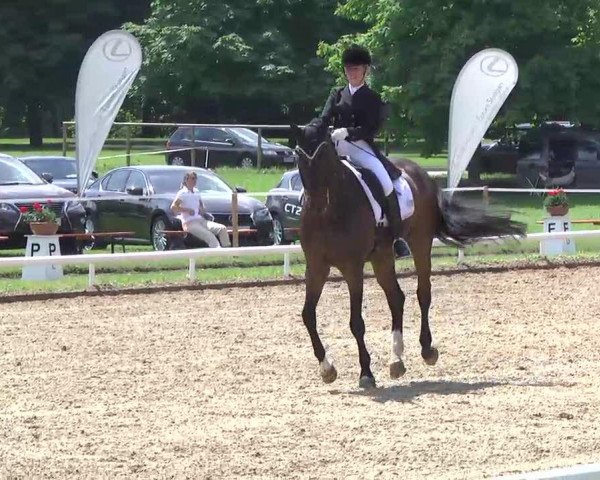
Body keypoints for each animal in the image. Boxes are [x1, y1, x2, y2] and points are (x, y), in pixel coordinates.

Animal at [292, 122, 524, 388]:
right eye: (299, 156)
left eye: (323, 154)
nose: (316, 204)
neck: (331, 210)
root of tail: (421, 174)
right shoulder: (316, 267)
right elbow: (308, 315)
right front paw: (327, 369)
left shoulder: (353, 268)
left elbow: (356, 322)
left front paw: (366, 373)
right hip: (382, 258)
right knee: (396, 298)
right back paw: (396, 361)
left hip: (420, 243)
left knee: (423, 293)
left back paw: (426, 350)